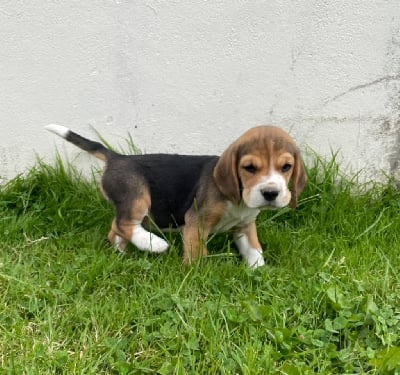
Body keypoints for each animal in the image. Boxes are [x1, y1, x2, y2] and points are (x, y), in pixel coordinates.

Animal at [44, 125, 306, 268]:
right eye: (249, 168)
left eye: (286, 167)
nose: (270, 193)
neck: (239, 199)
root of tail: (117, 157)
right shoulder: (196, 222)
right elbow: (197, 252)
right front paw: (198, 274)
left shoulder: (244, 226)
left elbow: (254, 250)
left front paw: (259, 271)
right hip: (137, 196)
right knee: (123, 224)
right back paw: (154, 244)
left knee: (115, 229)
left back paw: (123, 253)